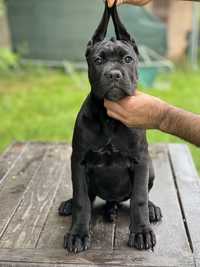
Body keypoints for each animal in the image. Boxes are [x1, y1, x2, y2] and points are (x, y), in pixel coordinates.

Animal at [58, 2, 162, 254]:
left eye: (127, 59)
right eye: (98, 60)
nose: (114, 74)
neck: (110, 118)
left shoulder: (141, 160)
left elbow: (139, 198)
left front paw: (141, 232)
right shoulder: (79, 161)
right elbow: (82, 200)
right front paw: (77, 234)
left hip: (151, 167)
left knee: (141, 195)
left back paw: (149, 208)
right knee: (86, 196)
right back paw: (73, 204)